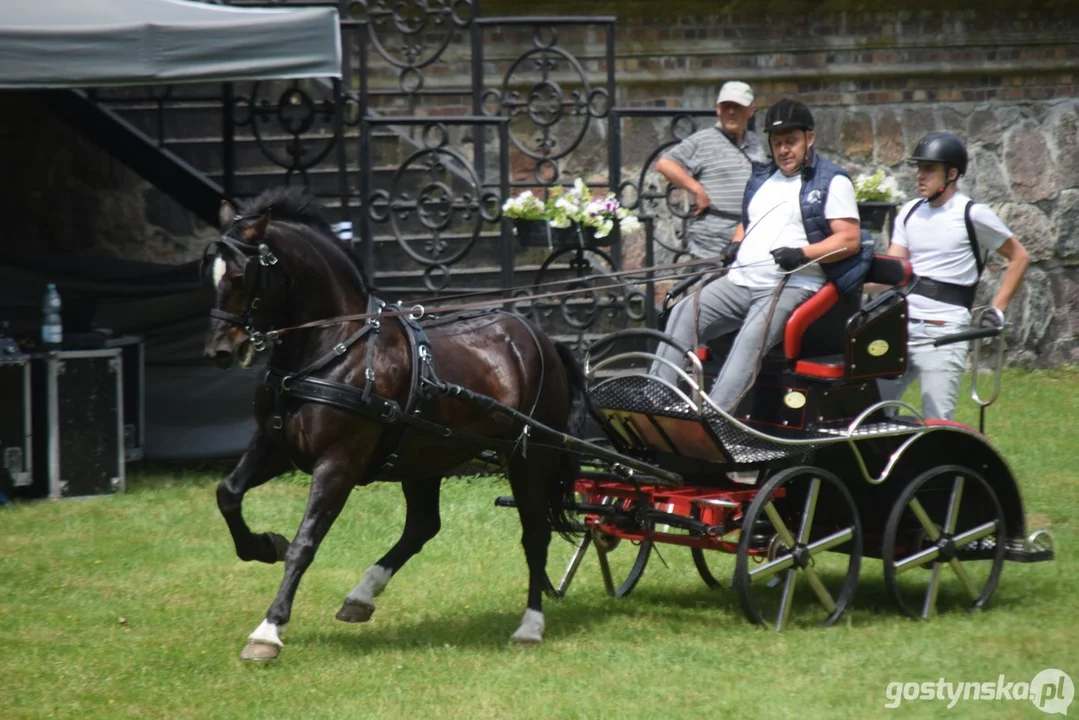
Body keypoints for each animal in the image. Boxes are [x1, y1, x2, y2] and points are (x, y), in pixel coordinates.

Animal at [202, 188, 591, 660]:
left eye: (244, 275)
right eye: (209, 272)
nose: (219, 350)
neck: (335, 347)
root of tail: (544, 340)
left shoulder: (338, 463)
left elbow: (305, 542)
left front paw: (269, 630)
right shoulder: (275, 445)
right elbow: (228, 494)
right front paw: (263, 546)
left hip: (530, 456)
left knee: (535, 533)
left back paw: (530, 626)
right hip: (425, 455)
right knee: (424, 526)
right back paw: (361, 595)